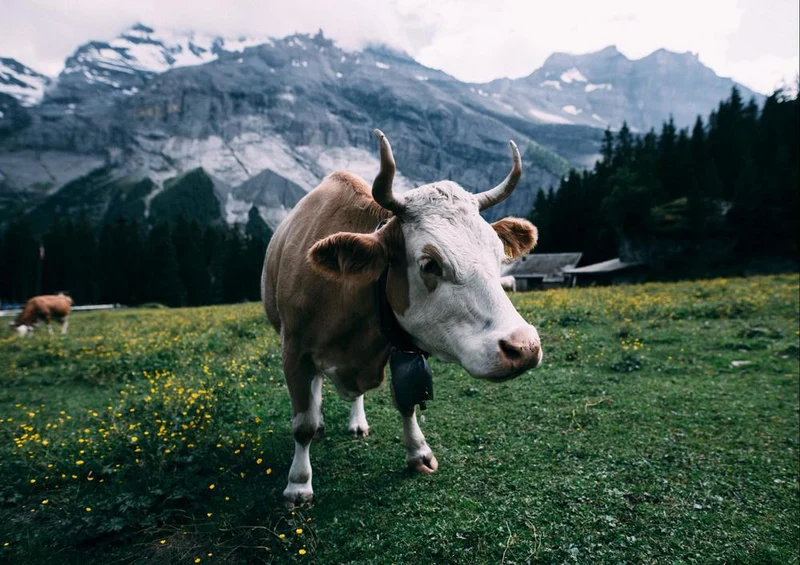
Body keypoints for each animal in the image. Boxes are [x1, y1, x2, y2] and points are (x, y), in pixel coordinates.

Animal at [262, 130, 542, 504]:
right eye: (429, 263)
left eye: (499, 254)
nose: (523, 347)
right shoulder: (293, 351)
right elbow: (302, 423)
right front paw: (298, 483)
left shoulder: (400, 346)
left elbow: (407, 400)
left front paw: (418, 453)